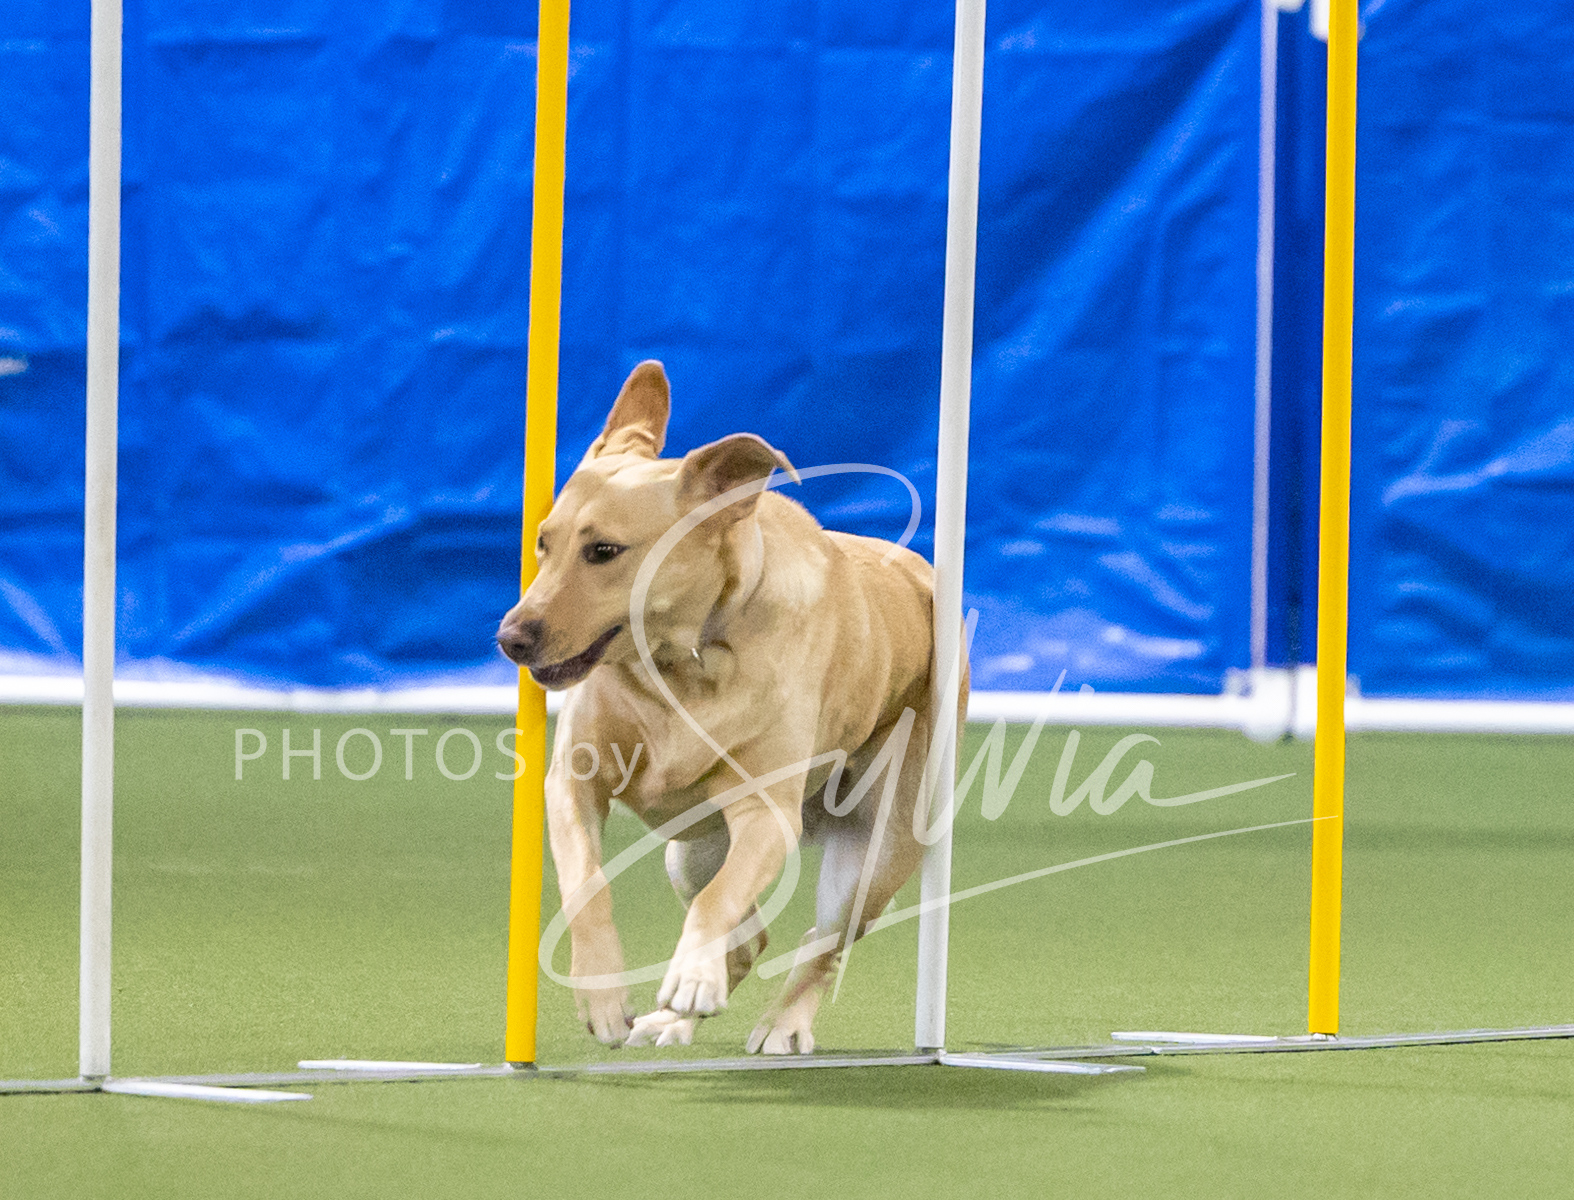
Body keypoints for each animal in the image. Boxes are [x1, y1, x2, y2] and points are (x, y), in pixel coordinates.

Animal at [496, 361, 962, 1054]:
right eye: (543, 543)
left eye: (604, 551)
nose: (511, 638)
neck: (682, 662)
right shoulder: (573, 783)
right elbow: (587, 883)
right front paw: (604, 996)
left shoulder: (765, 812)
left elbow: (719, 903)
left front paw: (691, 979)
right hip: (688, 852)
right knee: (749, 937)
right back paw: (672, 1019)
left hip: (876, 850)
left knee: (820, 942)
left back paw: (780, 1025)